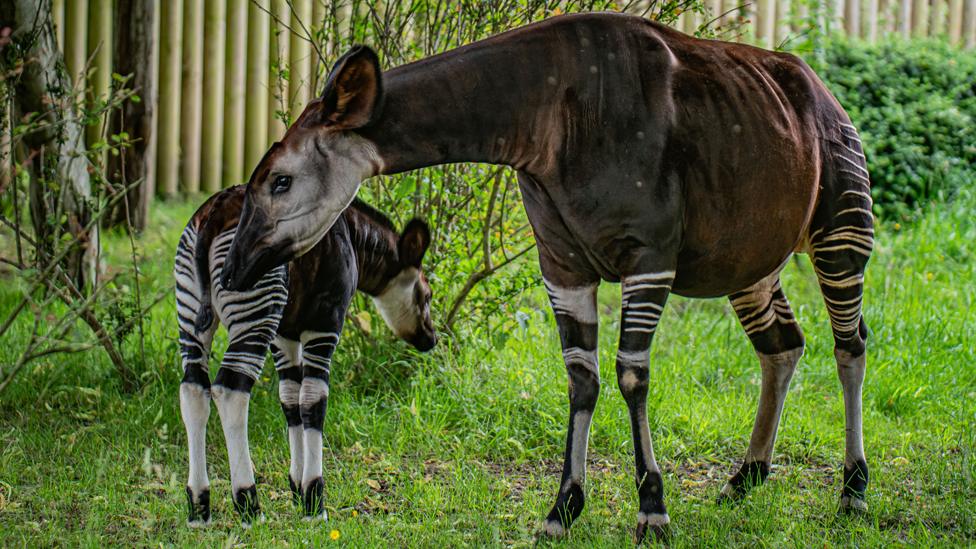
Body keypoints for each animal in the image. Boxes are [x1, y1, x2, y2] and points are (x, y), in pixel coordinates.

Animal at [174, 186, 434, 524]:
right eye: (427, 296)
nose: (431, 339)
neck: (353, 236)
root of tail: (215, 214)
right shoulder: (324, 323)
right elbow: (313, 402)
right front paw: (314, 500)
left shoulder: (285, 333)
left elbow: (290, 400)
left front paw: (297, 489)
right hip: (255, 310)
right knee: (230, 391)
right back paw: (249, 504)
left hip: (191, 313)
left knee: (193, 389)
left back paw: (199, 508)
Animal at [221, 11, 876, 540]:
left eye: (279, 180)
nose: (230, 270)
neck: (547, 118)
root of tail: (823, 90)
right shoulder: (563, 265)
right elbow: (581, 380)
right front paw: (563, 509)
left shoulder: (648, 256)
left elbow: (632, 377)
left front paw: (652, 511)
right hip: (750, 261)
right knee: (782, 346)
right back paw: (746, 478)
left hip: (842, 228)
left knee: (849, 344)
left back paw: (852, 491)